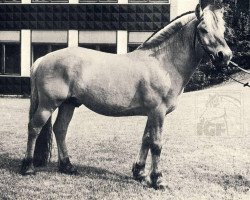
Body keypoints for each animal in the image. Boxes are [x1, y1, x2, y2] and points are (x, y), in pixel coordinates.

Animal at [21, 1, 232, 189]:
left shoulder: (152, 113)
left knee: (60, 129)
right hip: (48, 105)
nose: (226, 56)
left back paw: (68, 166)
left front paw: (139, 172)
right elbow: (156, 144)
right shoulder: (158, 112)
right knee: (34, 128)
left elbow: (146, 139)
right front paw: (158, 180)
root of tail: (42, 59)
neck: (162, 63)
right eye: (203, 29)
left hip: (68, 103)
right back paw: (28, 167)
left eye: (222, 30)